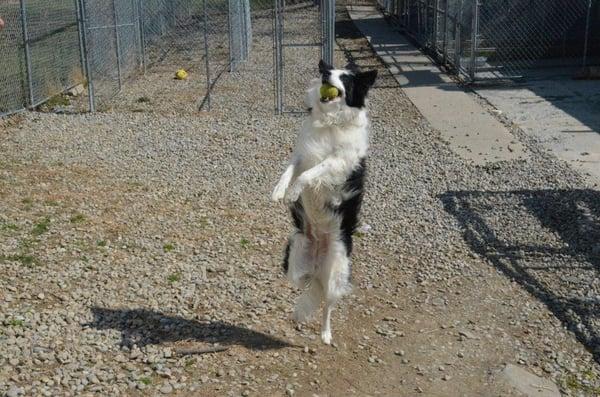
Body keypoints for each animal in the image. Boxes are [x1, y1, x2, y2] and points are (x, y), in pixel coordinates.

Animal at [274, 59, 378, 344]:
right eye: (330, 72)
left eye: (346, 78)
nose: (326, 74)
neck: (330, 122)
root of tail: (318, 258)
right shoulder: (301, 154)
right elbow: (289, 170)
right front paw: (279, 190)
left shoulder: (338, 163)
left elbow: (311, 173)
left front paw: (294, 191)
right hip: (295, 258)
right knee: (304, 283)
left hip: (336, 274)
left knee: (327, 306)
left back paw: (325, 334)